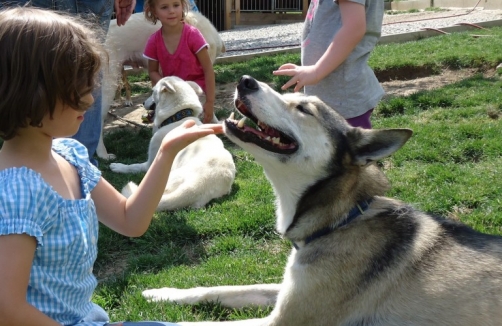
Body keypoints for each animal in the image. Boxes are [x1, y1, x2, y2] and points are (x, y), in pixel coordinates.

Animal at [109, 75, 234, 210]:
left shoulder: (151, 163)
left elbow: (133, 166)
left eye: (153, 92)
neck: (178, 117)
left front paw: (118, 166)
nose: (142, 103)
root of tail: (197, 186)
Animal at [140, 76, 502, 324]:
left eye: (303, 108)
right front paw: (161, 293)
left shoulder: (284, 320)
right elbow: (218, 290)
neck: (342, 218)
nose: (246, 81)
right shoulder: (289, 289)